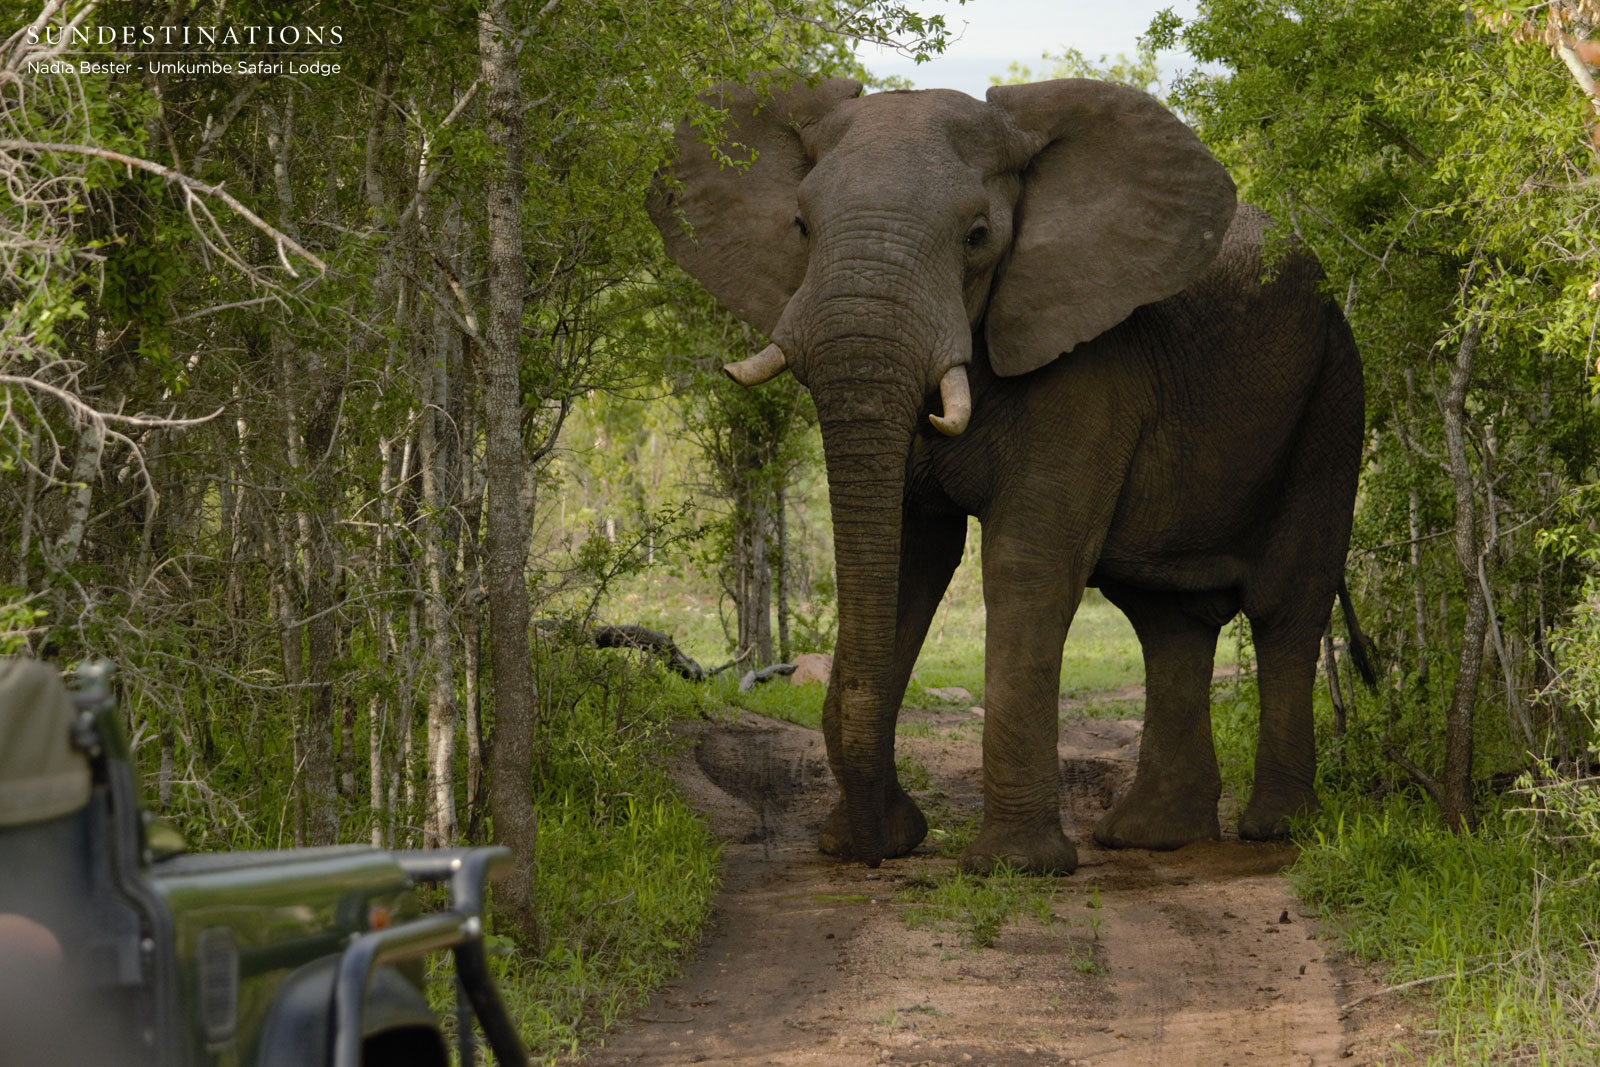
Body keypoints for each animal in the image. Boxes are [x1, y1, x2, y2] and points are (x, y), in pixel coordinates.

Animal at [648, 74, 1371, 875]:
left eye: (978, 237)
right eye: (801, 227)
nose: (872, 853)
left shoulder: (1091, 357)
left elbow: (1027, 559)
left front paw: (1014, 865)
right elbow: (910, 557)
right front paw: (876, 840)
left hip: (1334, 393)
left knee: (1285, 605)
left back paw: (1276, 829)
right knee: (1167, 618)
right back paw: (1152, 837)